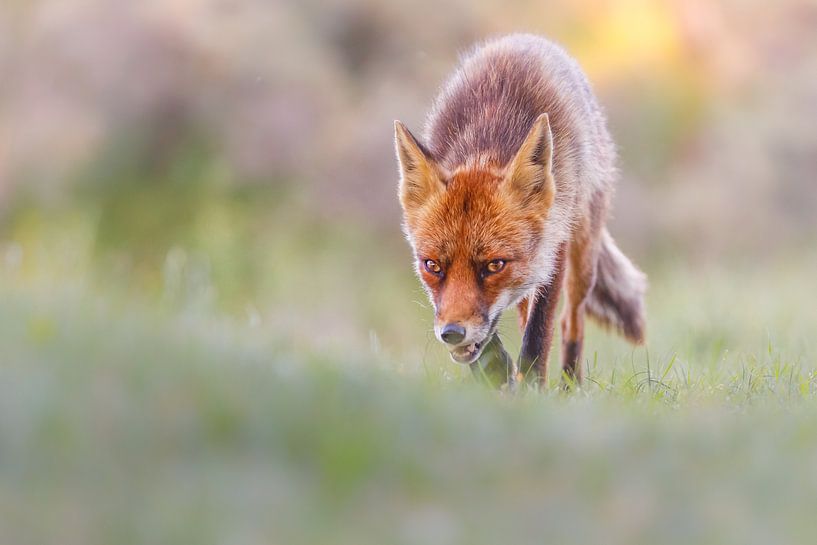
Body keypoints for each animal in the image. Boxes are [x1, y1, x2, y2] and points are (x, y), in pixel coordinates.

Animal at [394, 34, 647, 386]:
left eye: (494, 265)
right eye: (432, 265)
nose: (452, 333)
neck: (487, 141)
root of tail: (528, 39)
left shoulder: (554, 246)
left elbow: (537, 337)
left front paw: (530, 390)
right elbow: (493, 341)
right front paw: (499, 374)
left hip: (582, 256)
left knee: (571, 321)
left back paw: (569, 385)